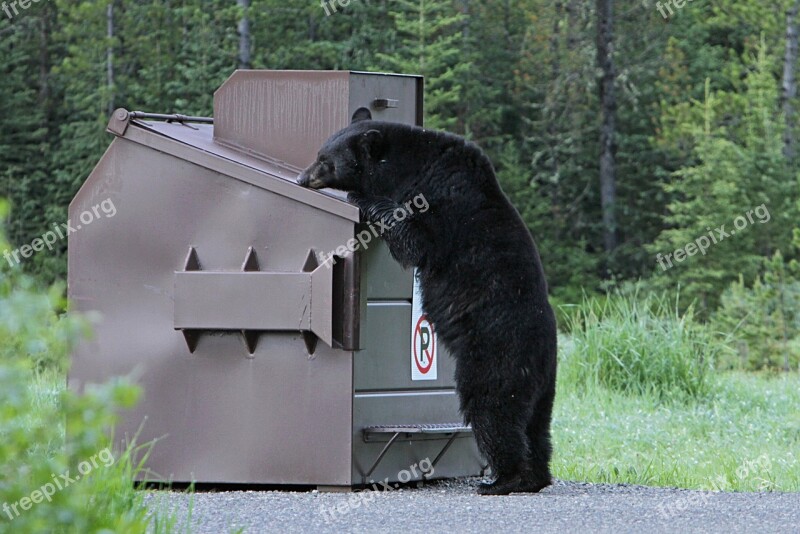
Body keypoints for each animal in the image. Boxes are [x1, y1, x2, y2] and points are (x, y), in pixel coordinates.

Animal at [296, 109, 556, 498]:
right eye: (319, 152)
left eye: (326, 160)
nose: (302, 177)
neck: (412, 165)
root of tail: (542, 356)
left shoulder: (440, 202)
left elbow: (415, 241)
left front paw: (363, 198)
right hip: (542, 387)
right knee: (537, 427)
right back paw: (536, 476)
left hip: (495, 357)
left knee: (492, 410)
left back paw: (503, 479)